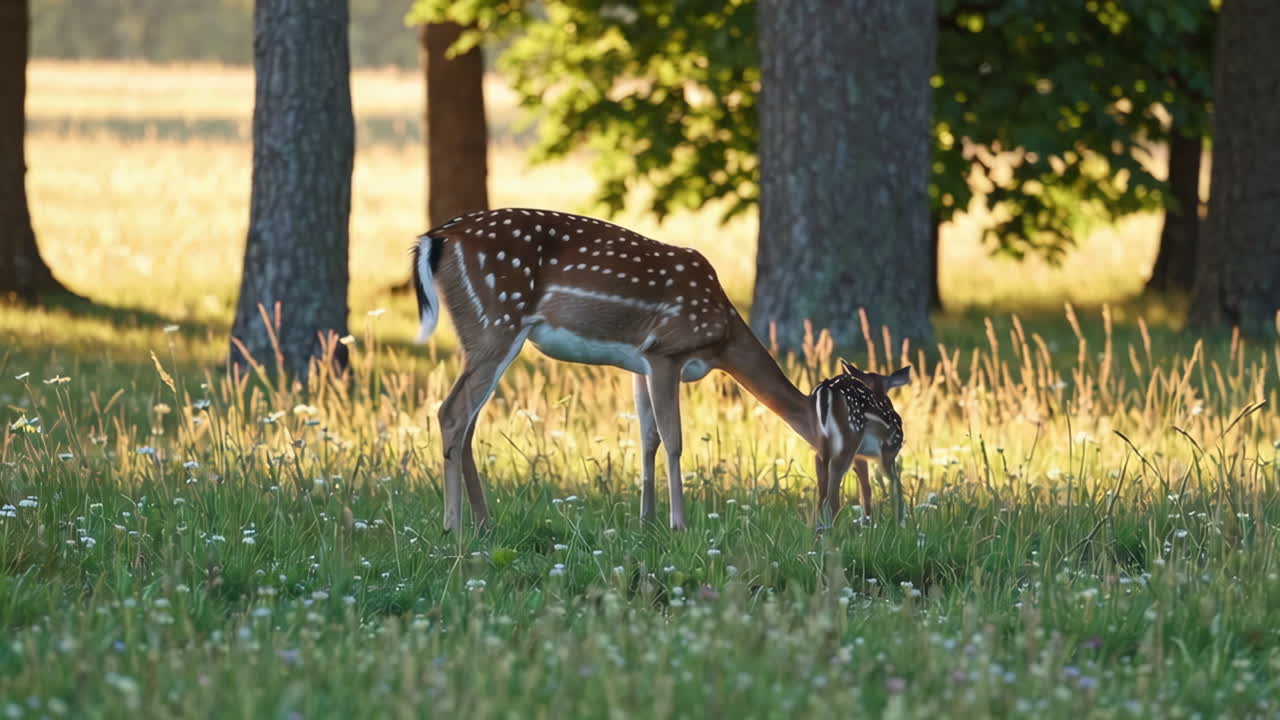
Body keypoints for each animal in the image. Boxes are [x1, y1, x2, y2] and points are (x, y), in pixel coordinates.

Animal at [411, 207, 910, 531]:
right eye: (864, 409)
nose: (888, 443)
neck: (722, 336)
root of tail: (435, 239)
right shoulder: (666, 351)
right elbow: (673, 439)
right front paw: (678, 524)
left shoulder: (638, 362)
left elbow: (647, 437)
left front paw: (646, 521)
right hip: (497, 321)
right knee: (452, 412)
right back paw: (453, 528)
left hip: (481, 333)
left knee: (467, 422)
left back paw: (484, 523)